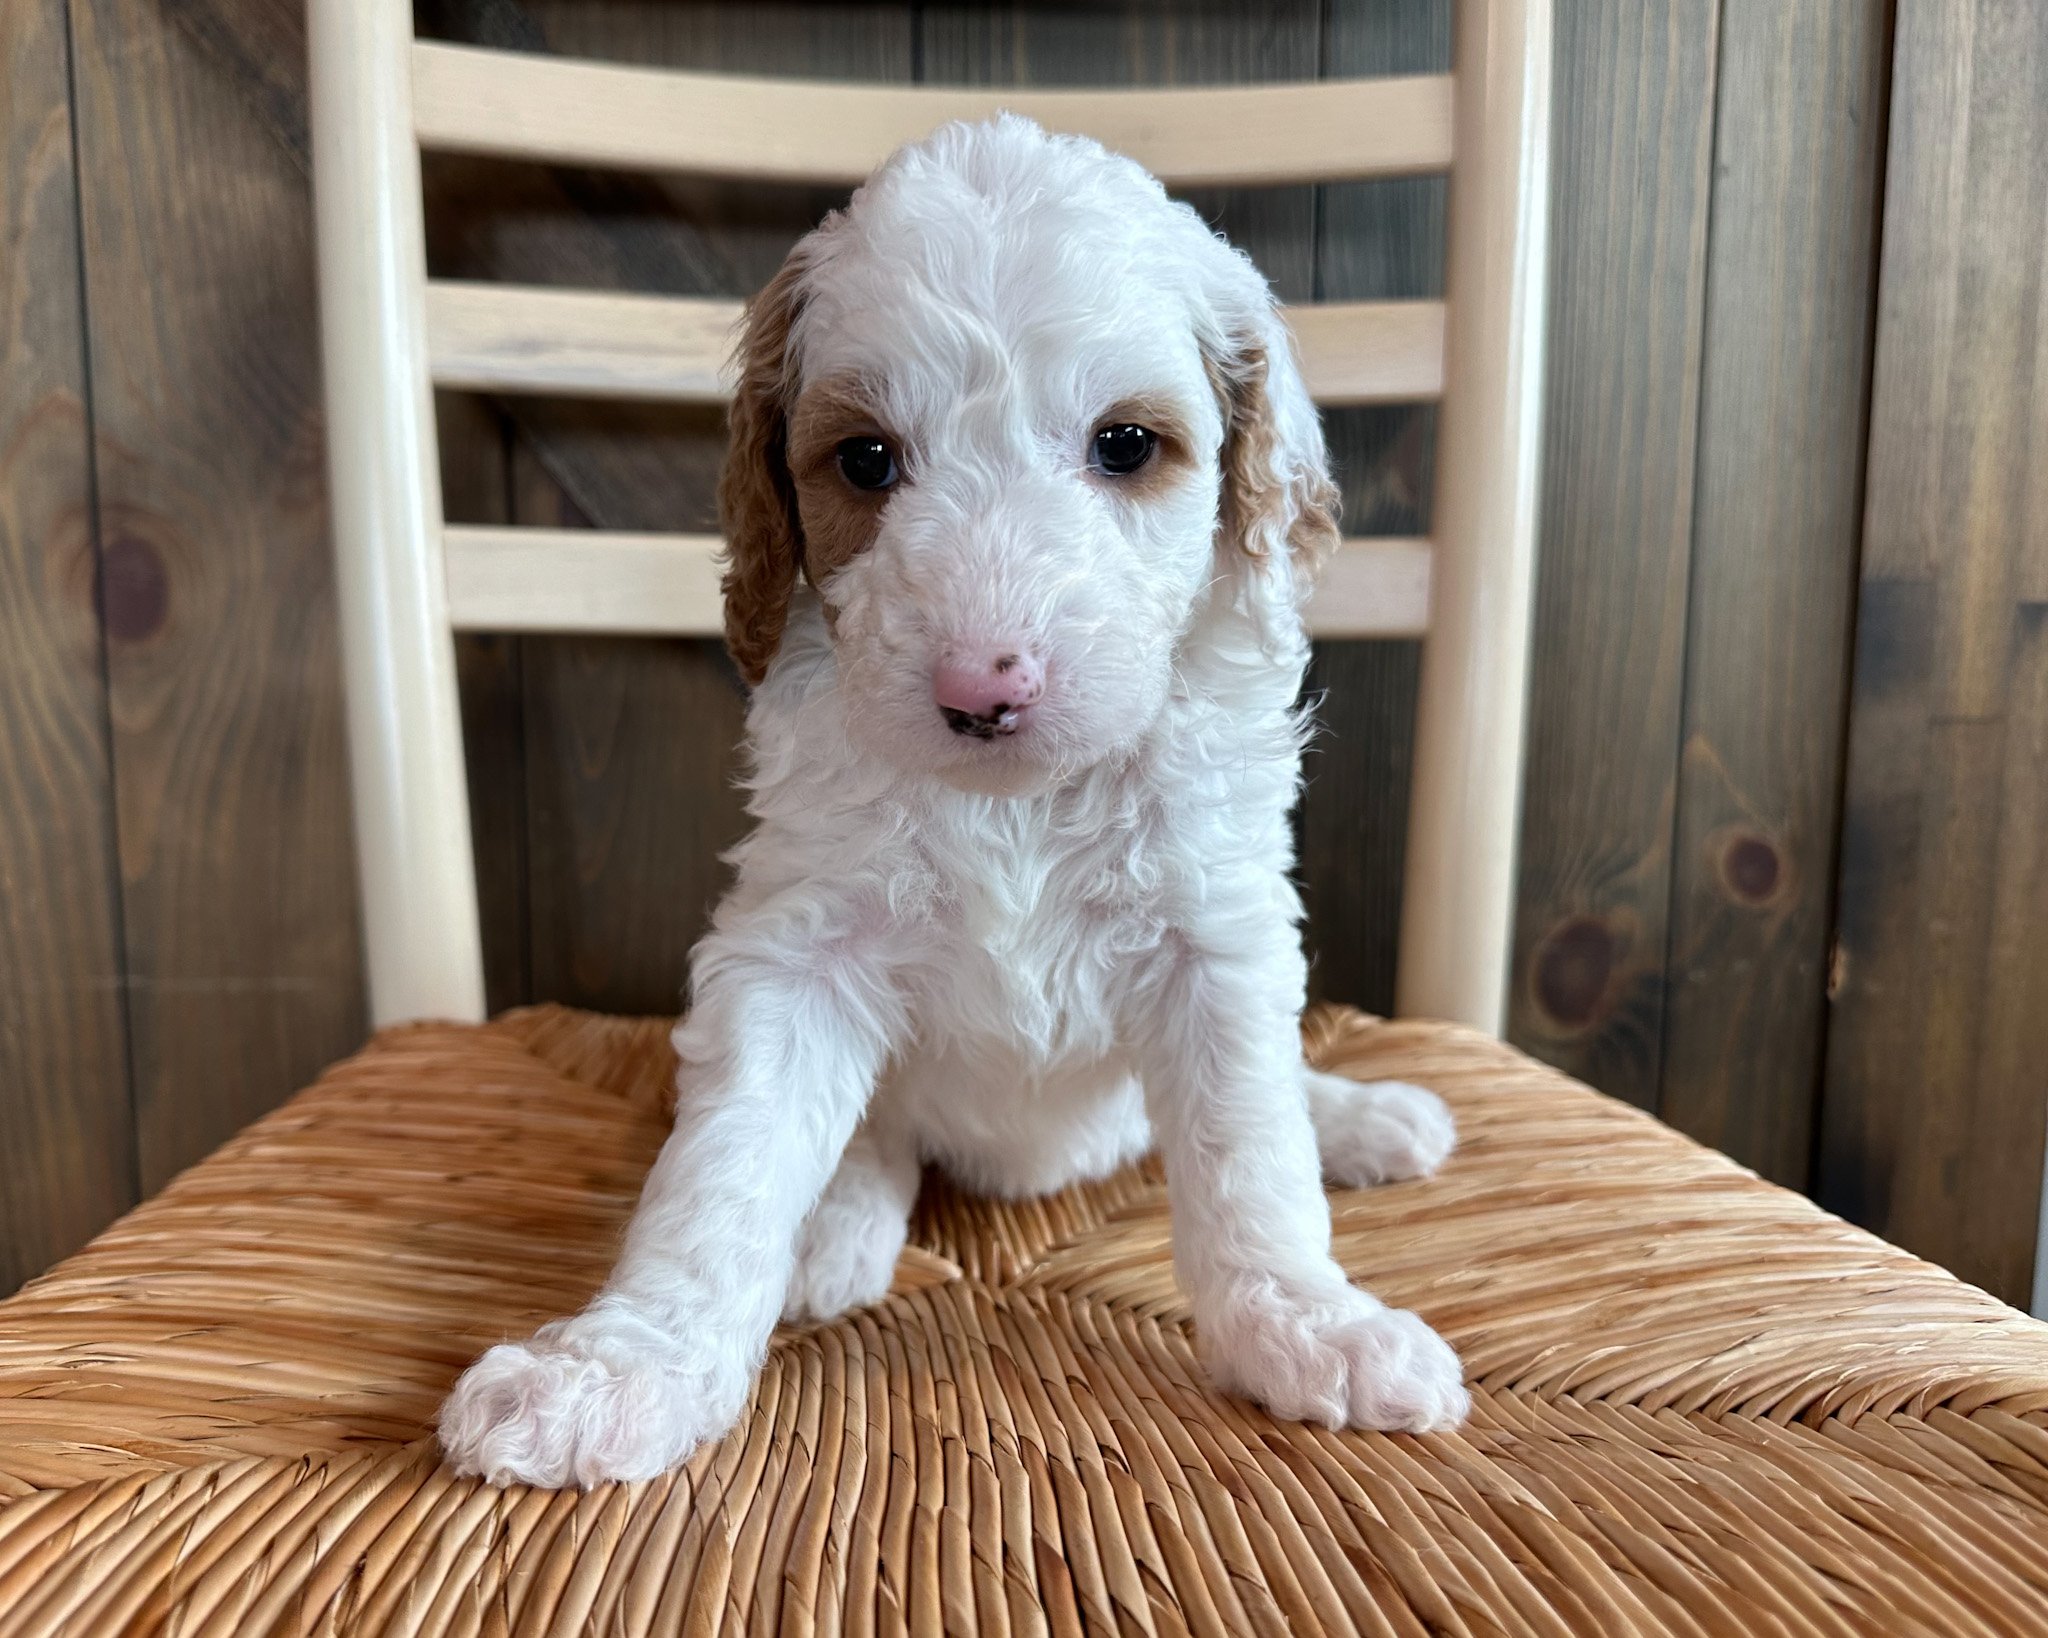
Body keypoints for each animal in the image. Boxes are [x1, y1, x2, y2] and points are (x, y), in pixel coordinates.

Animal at [440, 115, 1466, 1490]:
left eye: (1124, 444)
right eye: (866, 459)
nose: (984, 685)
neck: (1013, 805)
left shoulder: (1217, 935)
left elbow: (1250, 1153)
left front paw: (1304, 1326)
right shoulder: (794, 951)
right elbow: (720, 1171)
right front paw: (618, 1369)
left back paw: (1359, 1119)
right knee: (873, 1139)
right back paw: (834, 1226)